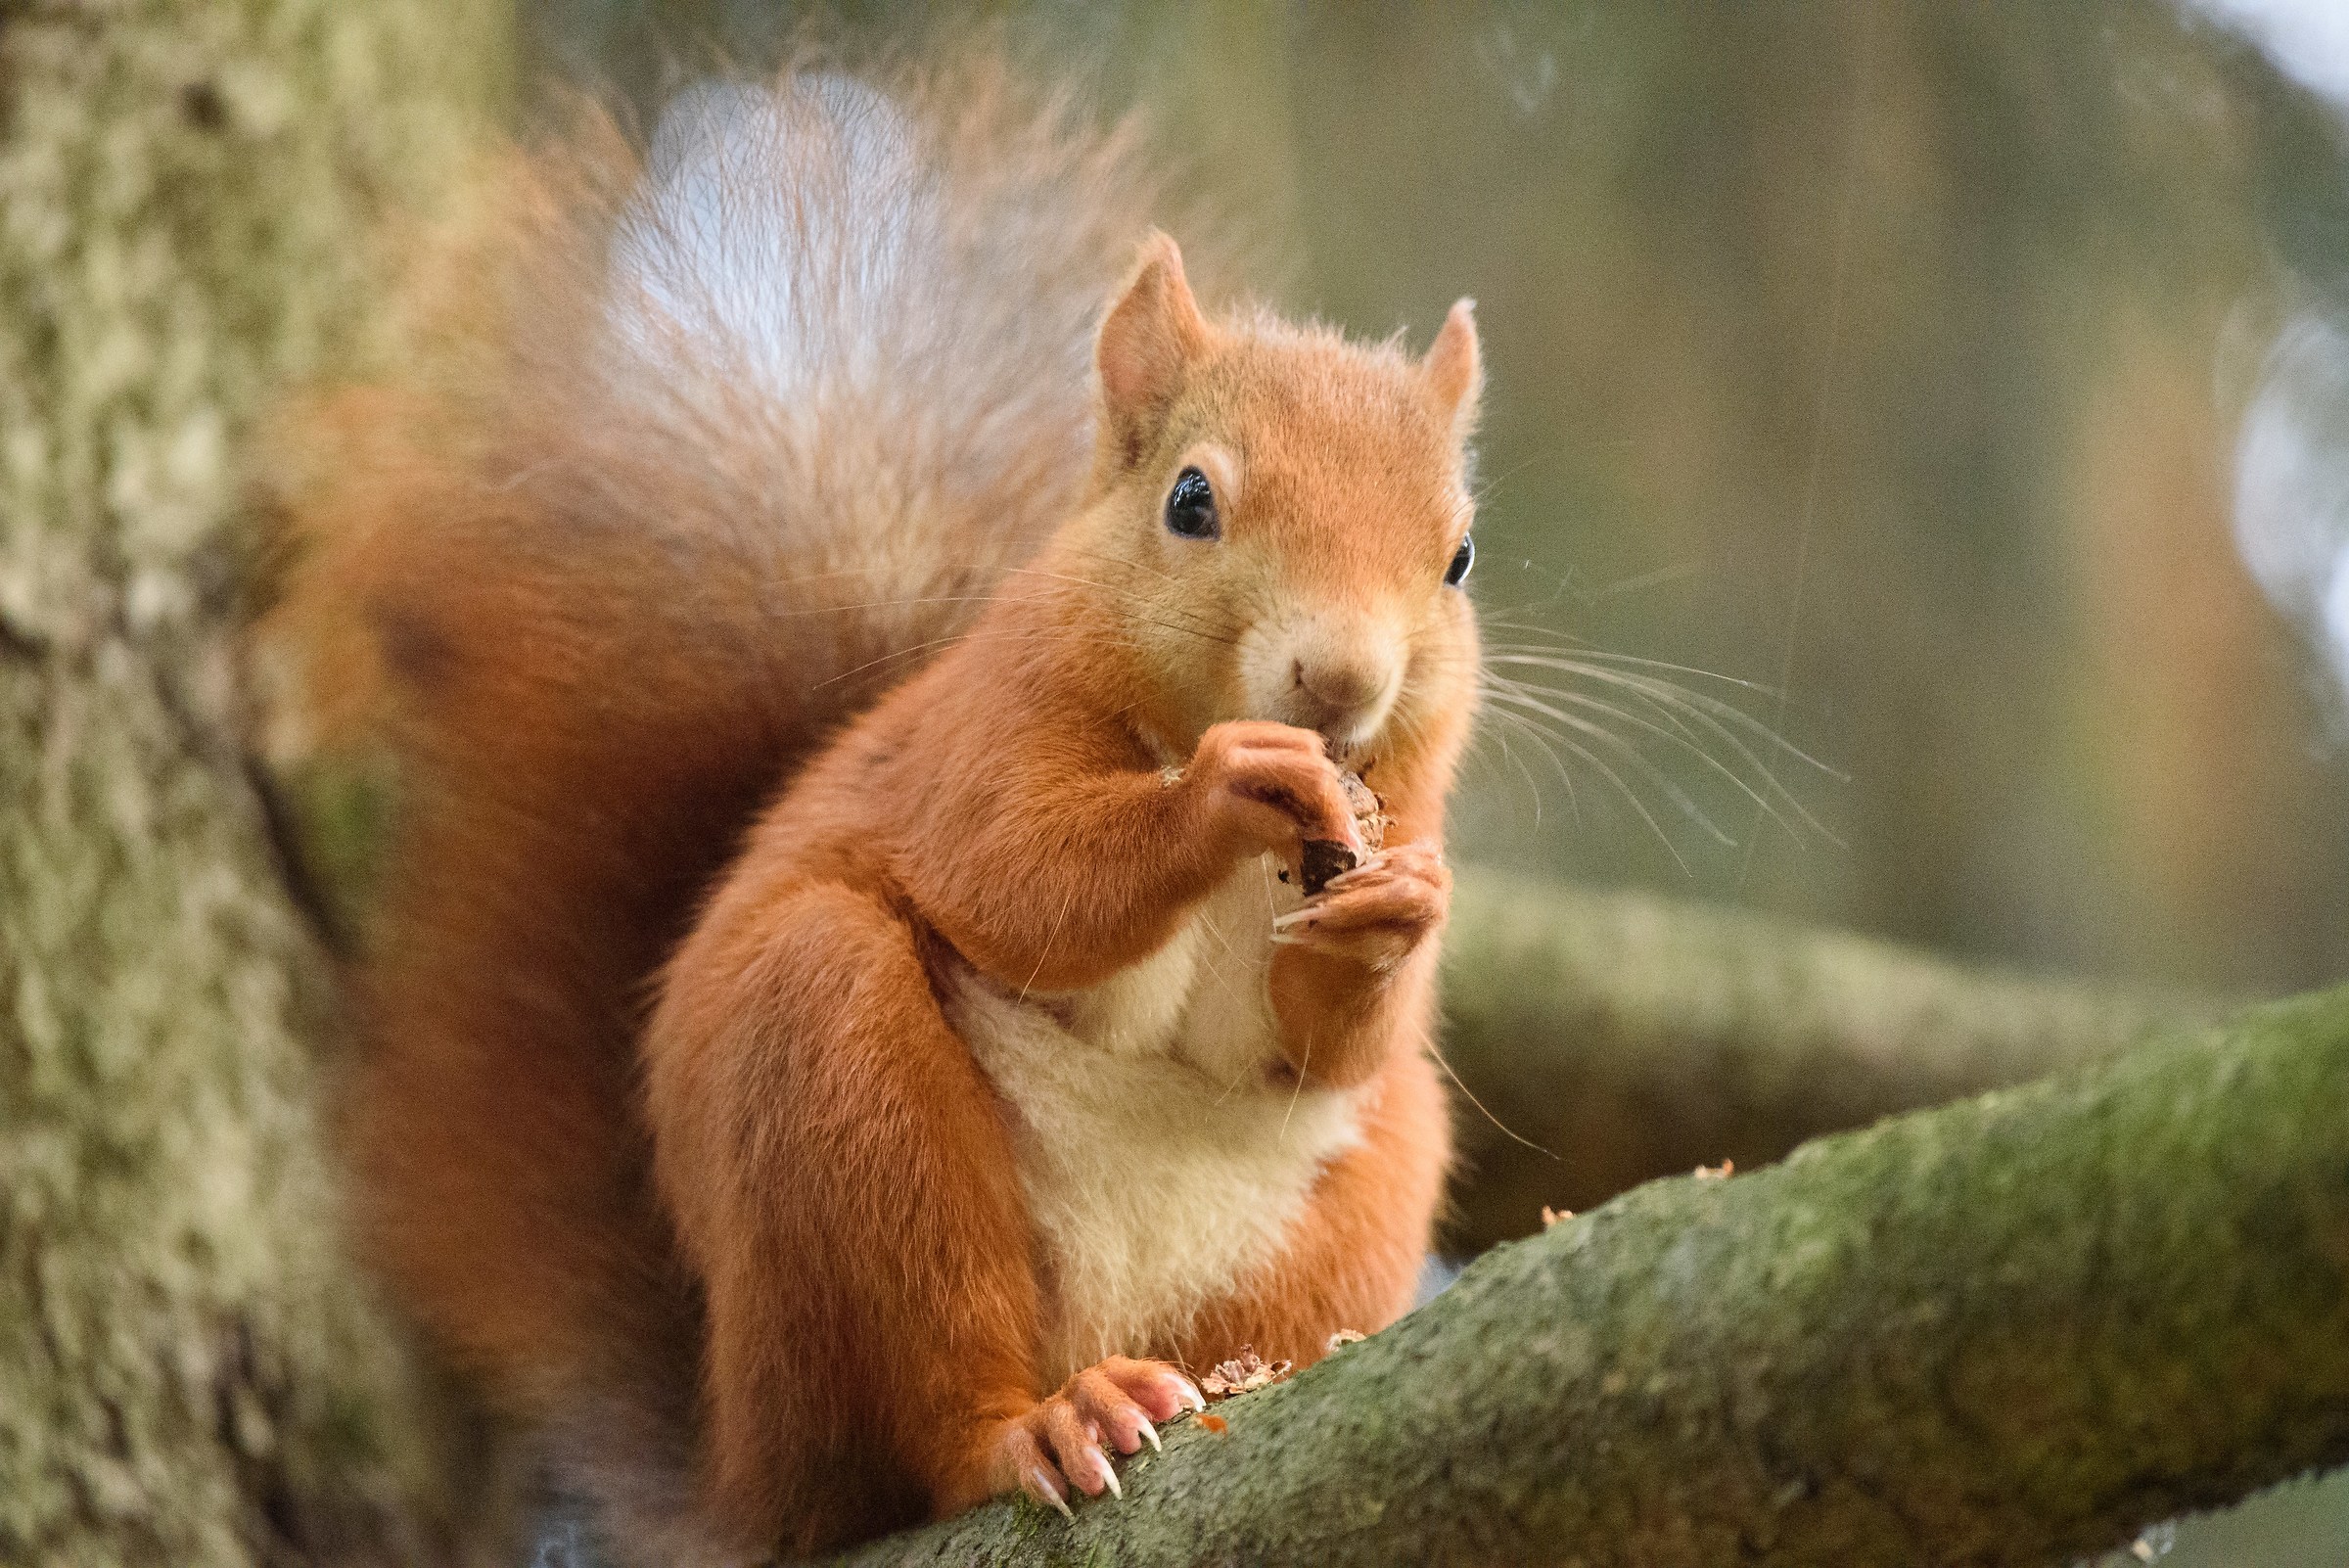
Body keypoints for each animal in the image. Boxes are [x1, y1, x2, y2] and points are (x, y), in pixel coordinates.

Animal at [258, 59, 1482, 1565]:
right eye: (1191, 500)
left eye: (1459, 557)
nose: (1341, 680)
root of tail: (748, 1464)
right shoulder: (974, 734)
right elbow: (1027, 876)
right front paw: (1222, 786)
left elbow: (1326, 1042)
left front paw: (1403, 908)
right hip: (840, 1104)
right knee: (930, 1420)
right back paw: (1039, 1424)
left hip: (1355, 1189)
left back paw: (1241, 1379)